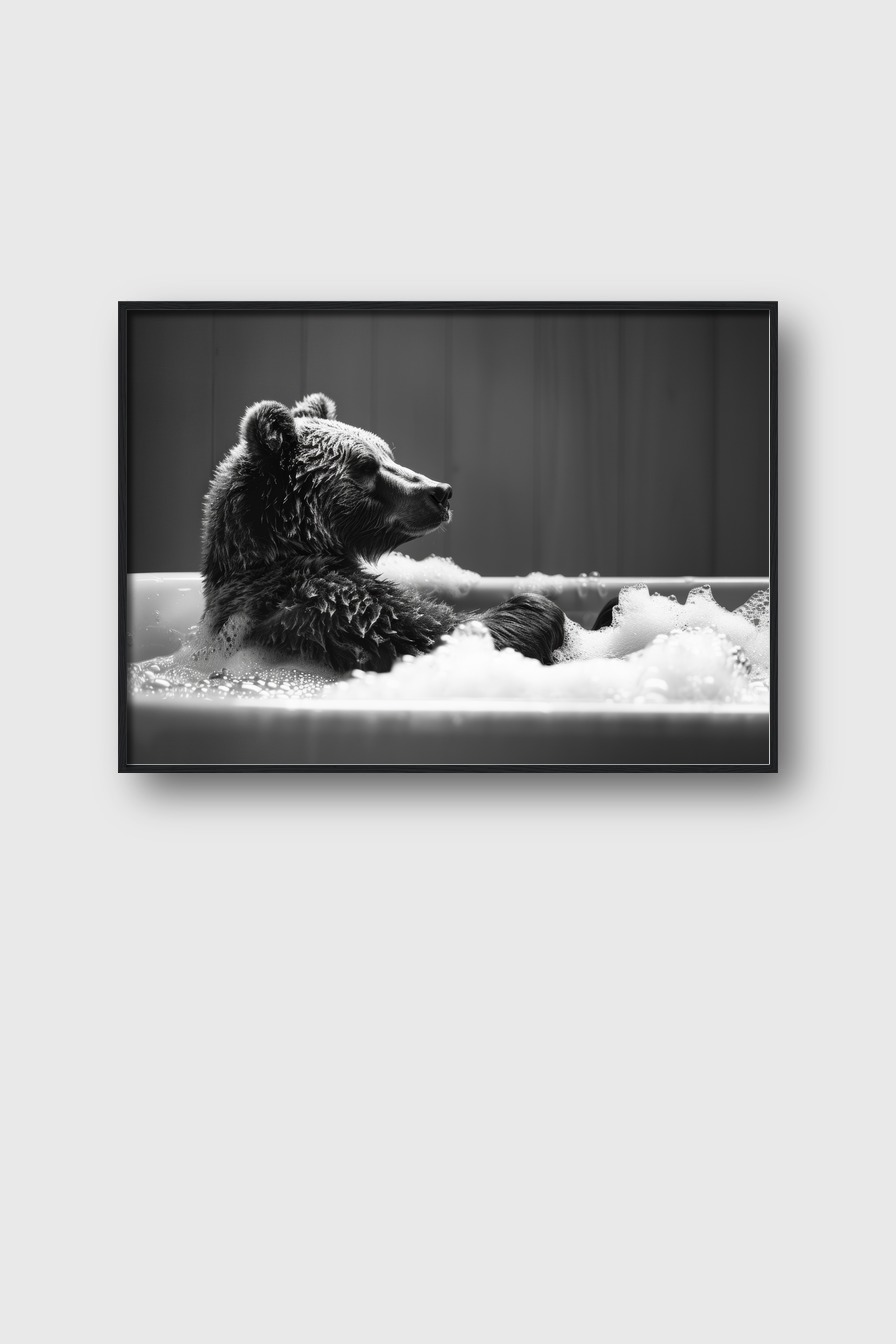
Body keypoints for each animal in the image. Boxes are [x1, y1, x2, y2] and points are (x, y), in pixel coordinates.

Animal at [200, 392, 566, 674]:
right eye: (364, 466)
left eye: (388, 454)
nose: (441, 492)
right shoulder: (327, 604)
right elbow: (427, 633)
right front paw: (534, 608)